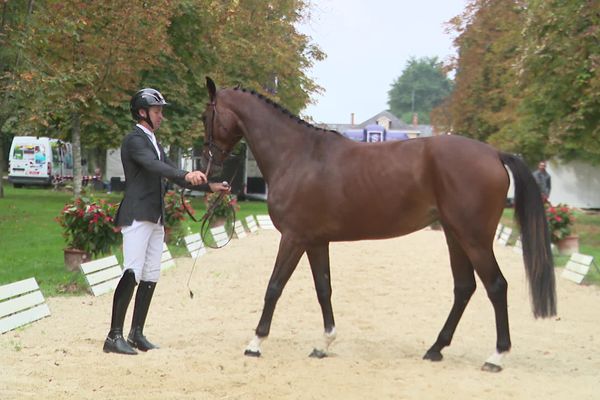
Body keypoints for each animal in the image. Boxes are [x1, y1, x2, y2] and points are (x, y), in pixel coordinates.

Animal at [199, 77, 556, 372]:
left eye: (206, 117)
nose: (208, 166)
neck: (298, 156)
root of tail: (494, 153)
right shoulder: (315, 241)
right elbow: (323, 288)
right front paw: (324, 343)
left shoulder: (293, 238)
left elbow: (274, 287)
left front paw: (255, 343)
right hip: (455, 236)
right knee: (464, 287)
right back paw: (436, 348)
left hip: (474, 238)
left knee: (496, 286)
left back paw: (496, 356)